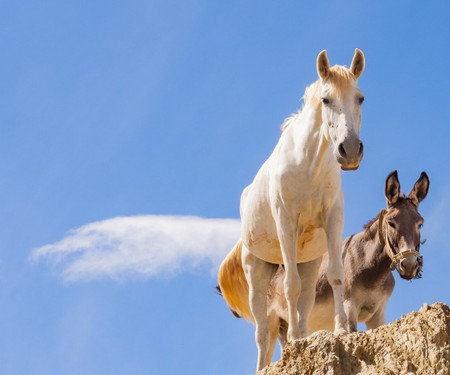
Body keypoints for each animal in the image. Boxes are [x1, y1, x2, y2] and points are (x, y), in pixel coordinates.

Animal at [218, 48, 366, 372]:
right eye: (326, 99)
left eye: (360, 98)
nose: (349, 150)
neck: (308, 164)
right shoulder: (286, 223)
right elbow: (289, 288)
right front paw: (298, 343)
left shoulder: (333, 219)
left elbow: (336, 276)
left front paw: (340, 330)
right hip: (257, 271)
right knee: (263, 333)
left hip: (308, 263)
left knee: (302, 305)